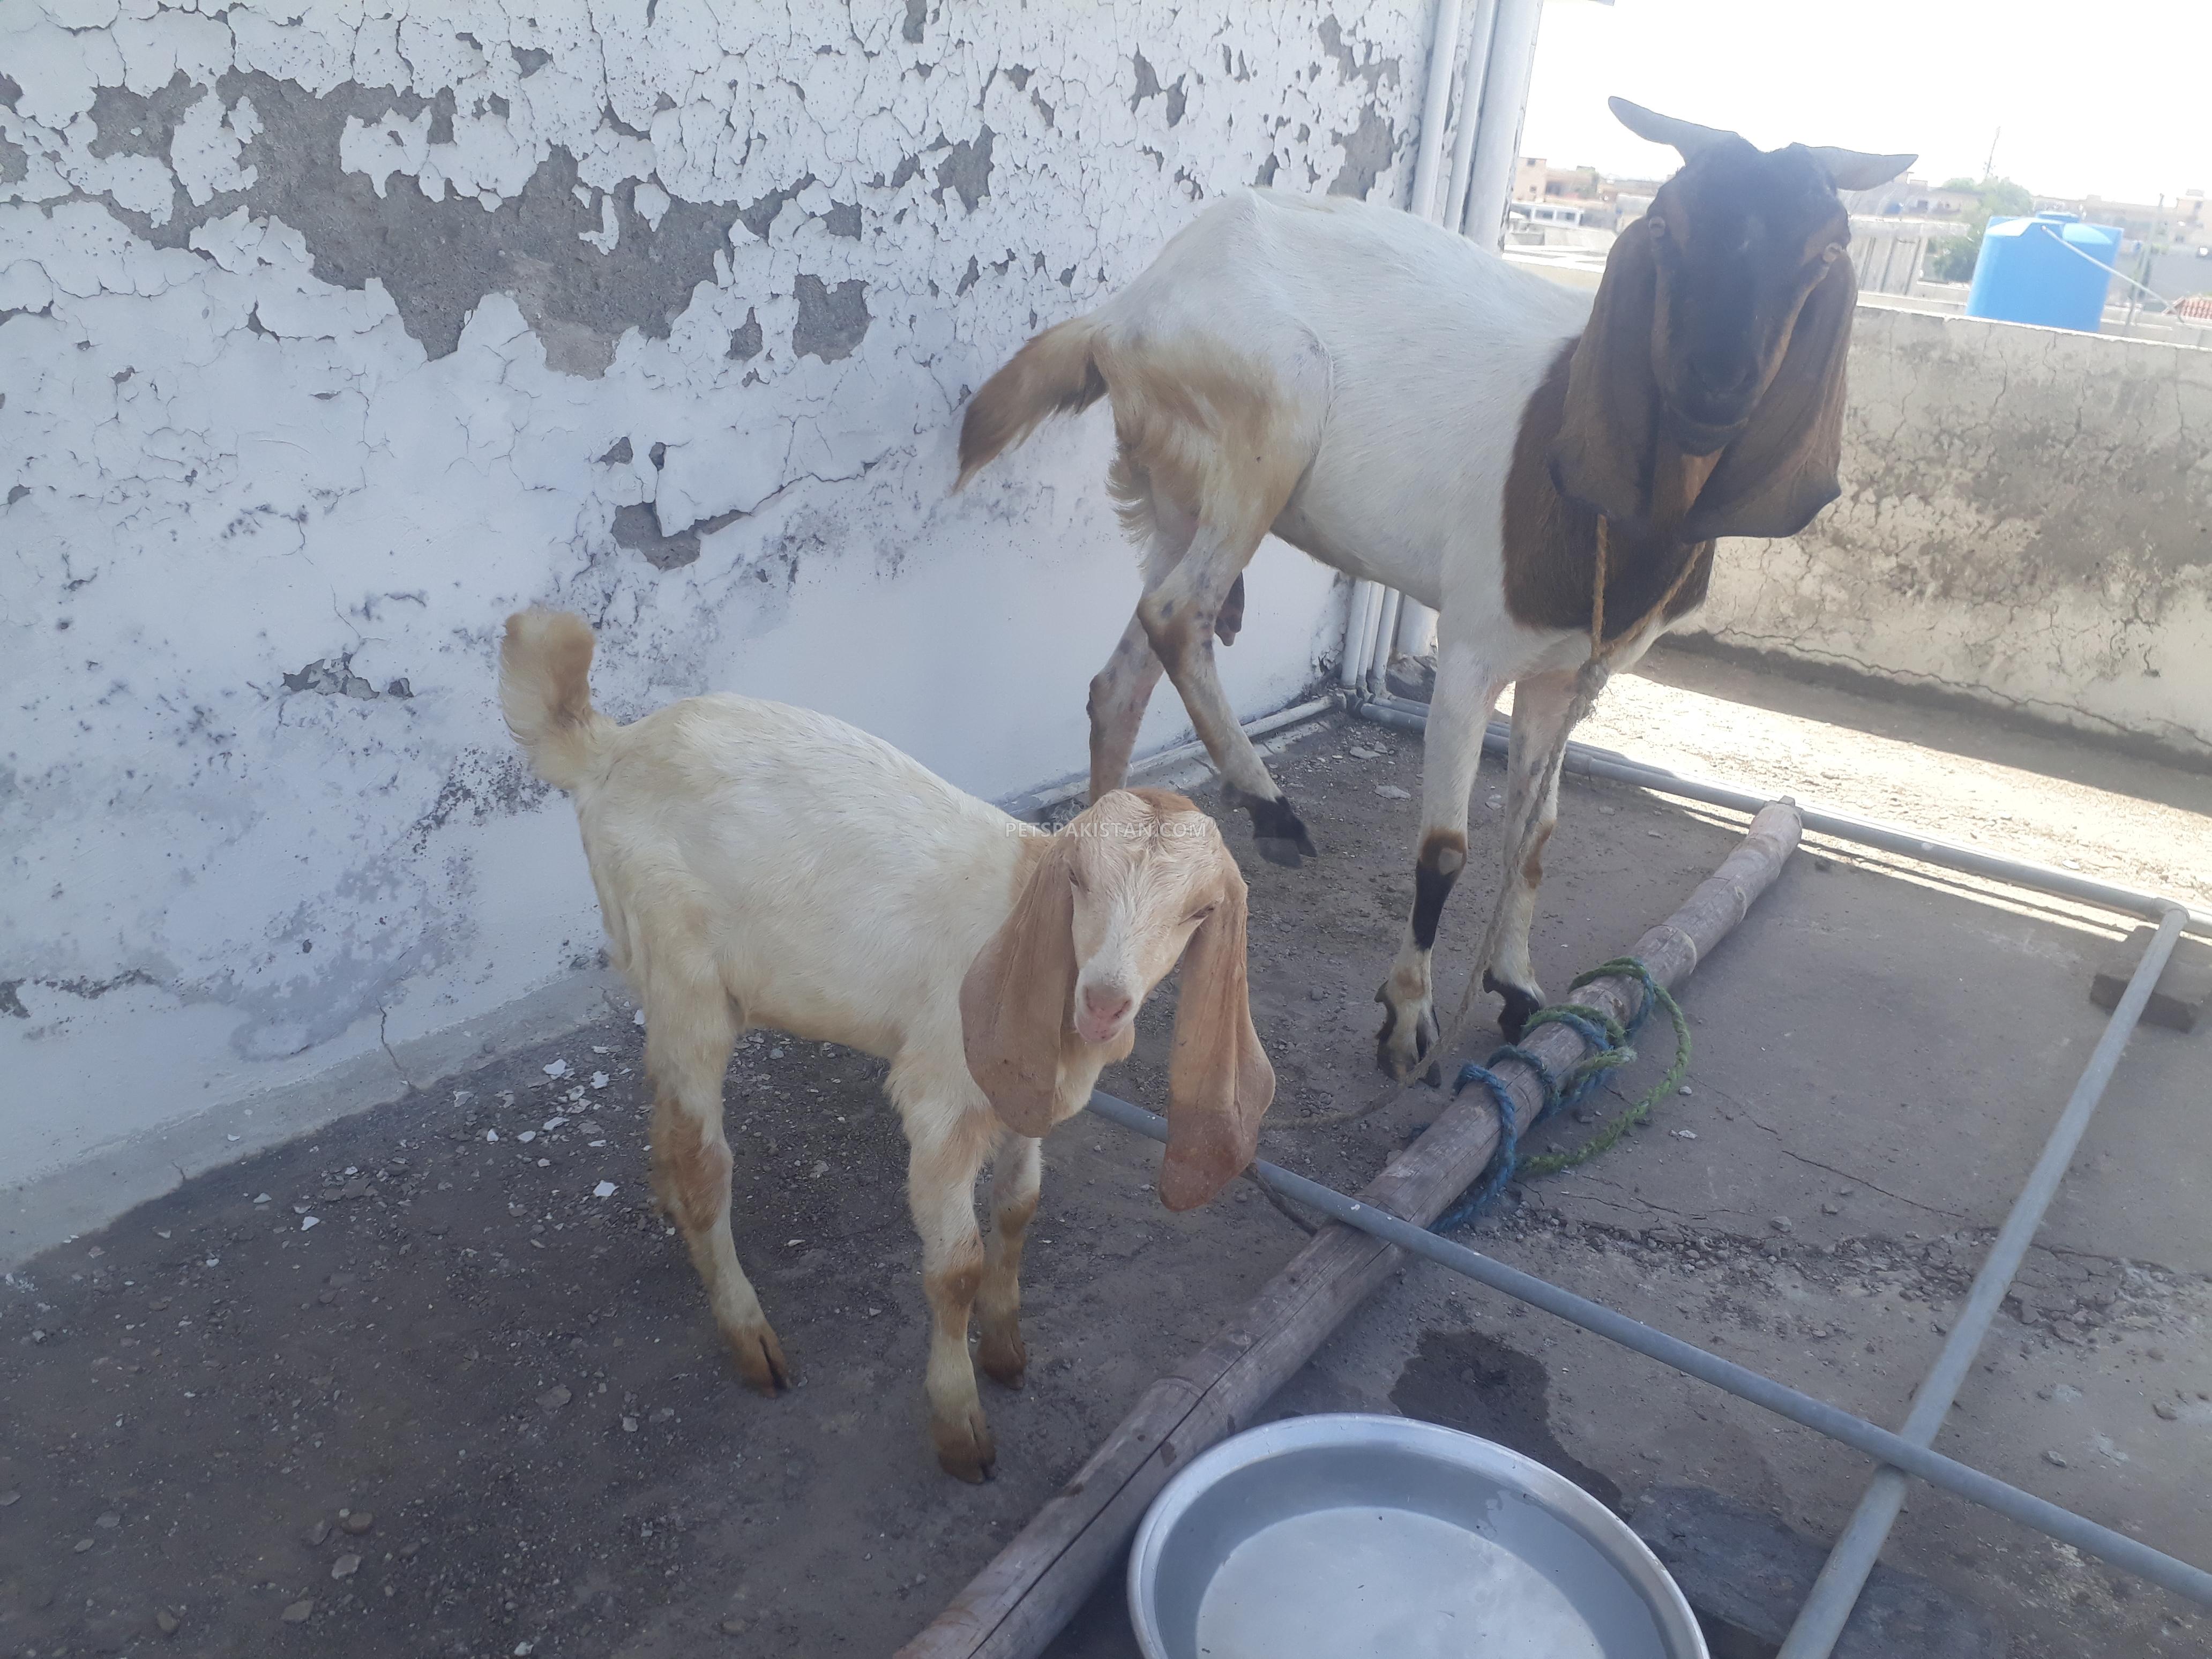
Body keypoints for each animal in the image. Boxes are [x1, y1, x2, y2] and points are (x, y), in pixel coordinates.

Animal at [498, 610, 1273, 1481]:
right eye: (1078, 881)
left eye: (1199, 912)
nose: (1106, 1002)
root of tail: (609, 747)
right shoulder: (939, 1095)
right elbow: (956, 1266)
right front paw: (960, 1425)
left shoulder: (1024, 1087)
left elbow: (1019, 1208)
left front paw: (1007, 1350)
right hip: (685, 973)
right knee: (705, 1164)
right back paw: (750, 1338)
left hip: (661, 982)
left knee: (665, 1110)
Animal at [956, 98, 1911, 1080]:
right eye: (1667, 229)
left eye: (1824, 249)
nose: (1714, 391)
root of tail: (1124, 313)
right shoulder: (1471, 652)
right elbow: (1446, 850)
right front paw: (1407, 1015)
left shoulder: (1573, 675)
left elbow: (1535, 833)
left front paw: (1519, 986)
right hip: (1266, 430)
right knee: (1177, 613)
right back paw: (1271, 809)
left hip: (1182, 494)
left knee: (1120, 680)